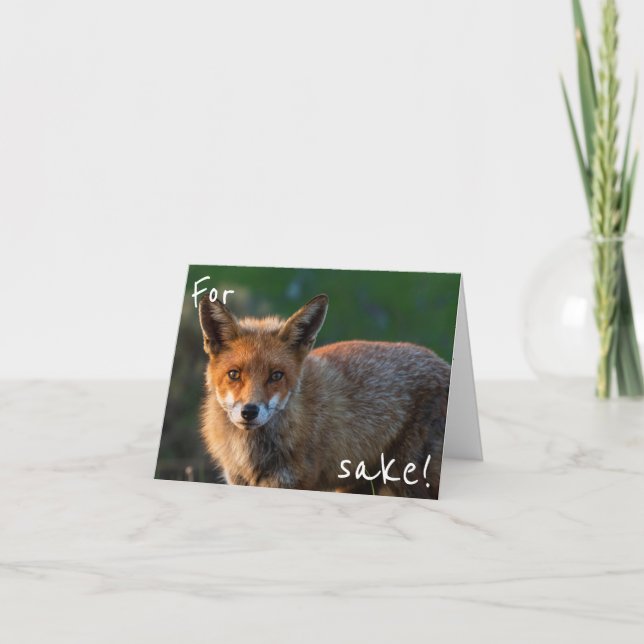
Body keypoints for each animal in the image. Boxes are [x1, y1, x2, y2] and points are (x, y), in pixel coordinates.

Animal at [198, 294, 450, 499]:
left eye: (276, 375)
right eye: (234, 374)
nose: (249, 411)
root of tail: (443, 364)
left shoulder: (293, 482)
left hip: (408, 479)